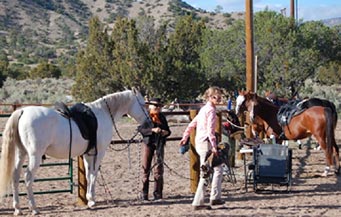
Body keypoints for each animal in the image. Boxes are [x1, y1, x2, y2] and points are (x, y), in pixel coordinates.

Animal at [0, 88, 150, 215]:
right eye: (143, 105)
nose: (149, 123)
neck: (104, 113)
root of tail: (22, 112)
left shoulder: (88, 154)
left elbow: (89, 175)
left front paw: (89, 199)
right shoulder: (99, 153)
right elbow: (94, 174)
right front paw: (92, 200)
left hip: (21, 154)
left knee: (15, 176)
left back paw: (18, 208)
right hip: (34, 156)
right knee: (28, 178)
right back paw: (34, 208)